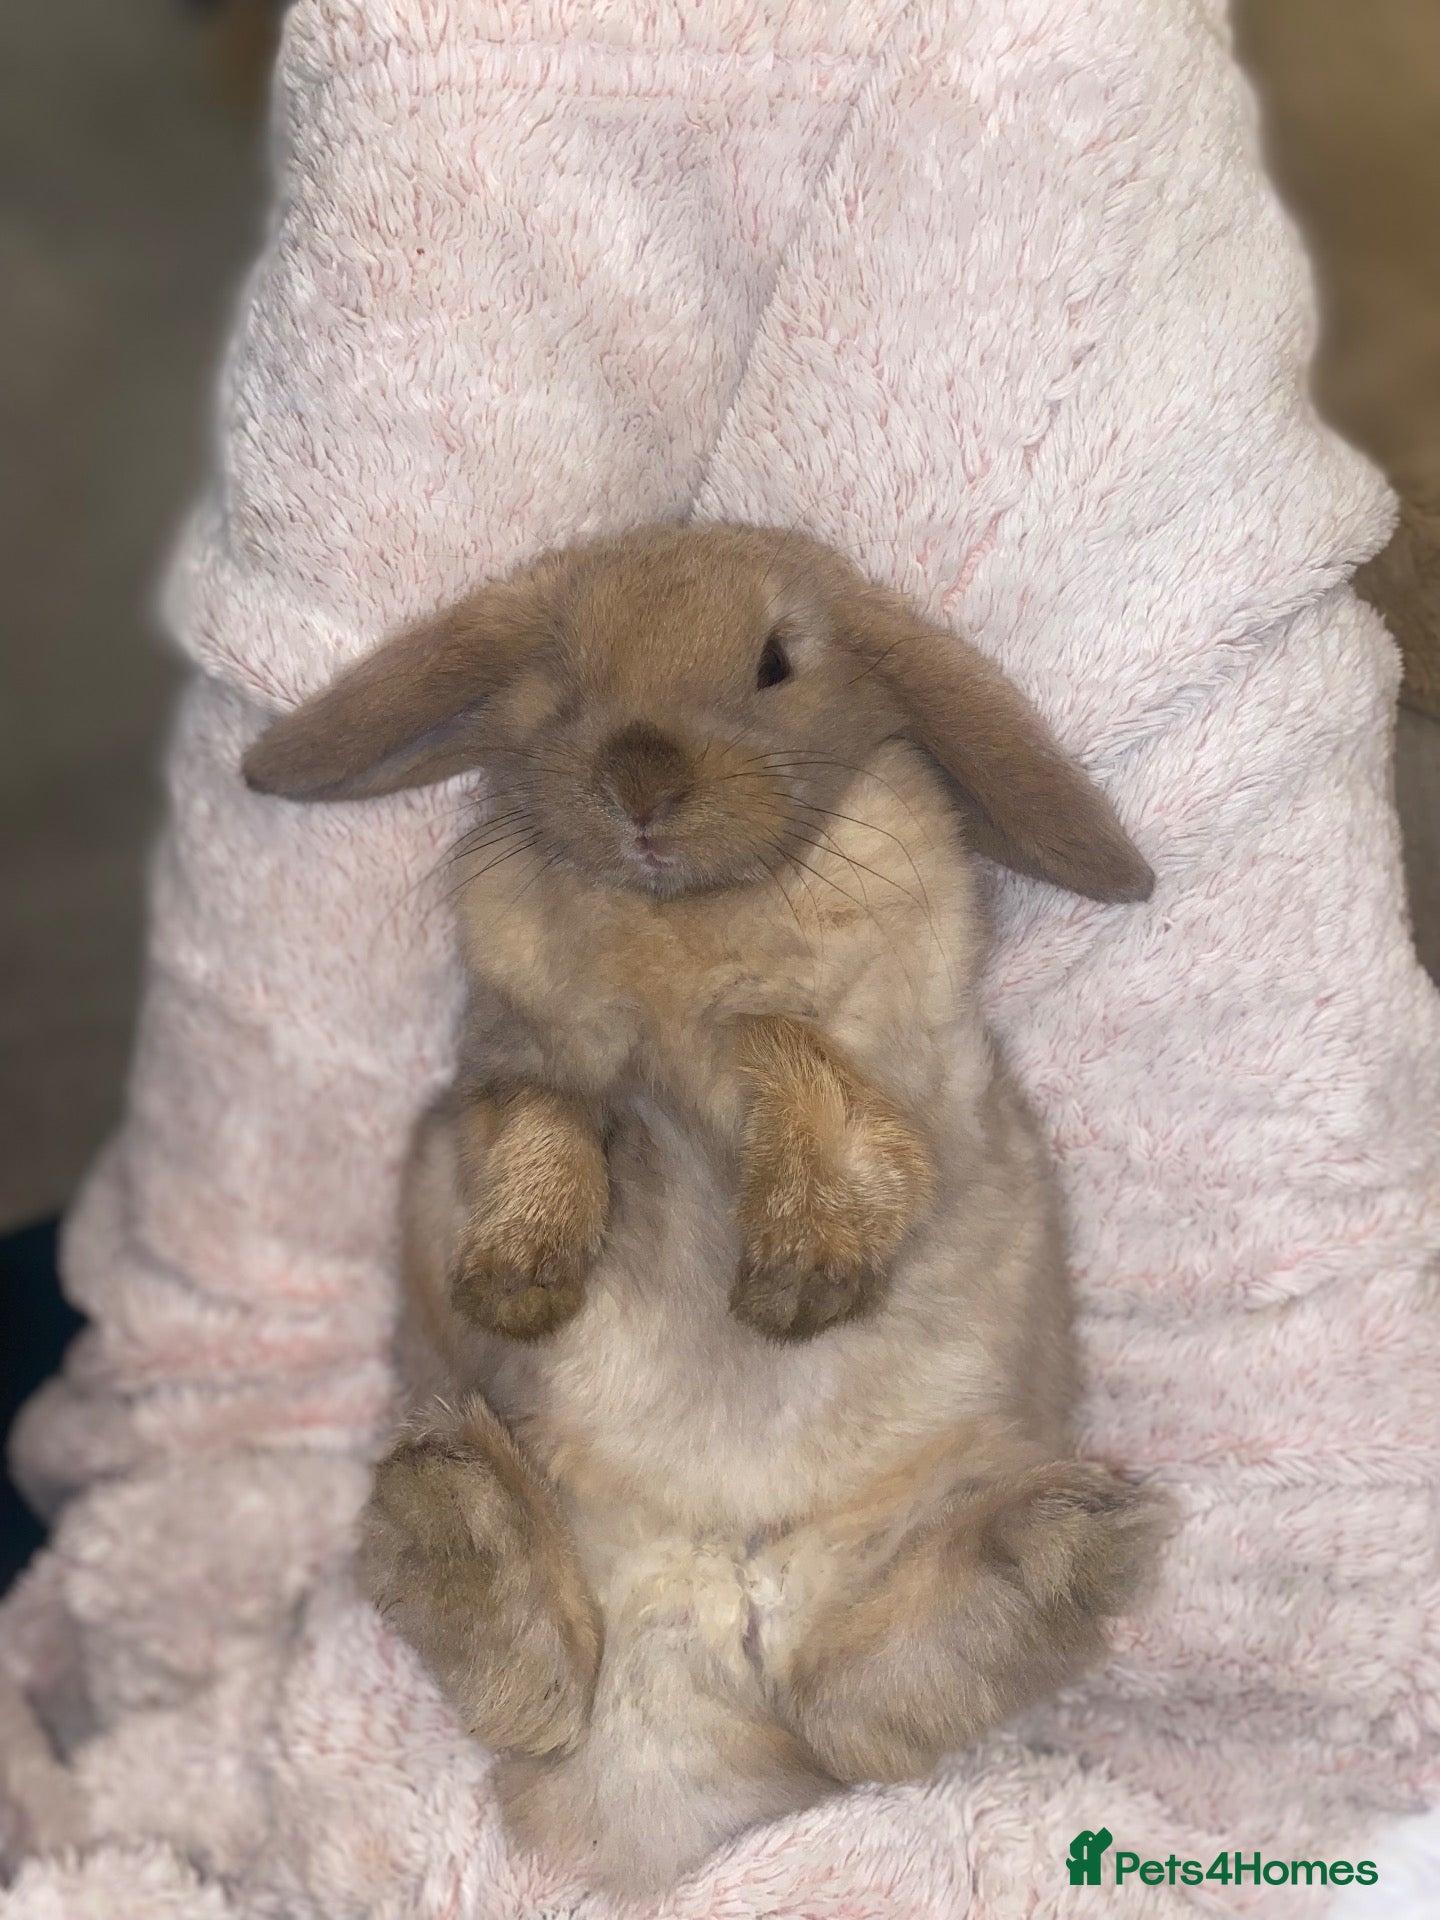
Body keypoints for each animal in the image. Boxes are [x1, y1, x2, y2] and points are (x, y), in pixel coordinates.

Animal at [244, 522, 1172, 1894]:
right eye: (562, 666)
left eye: (777, 660)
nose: (641, 782)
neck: (674, 923)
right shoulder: (509, 1069)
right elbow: (558, 1120)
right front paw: (519, 1282)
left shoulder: (896, 1067)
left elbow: (787, 1051)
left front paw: (795, 1282)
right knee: (556, 1691)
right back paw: (451, 1502)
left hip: (890, 1553)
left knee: (852, 1709)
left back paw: (1072, 1543)